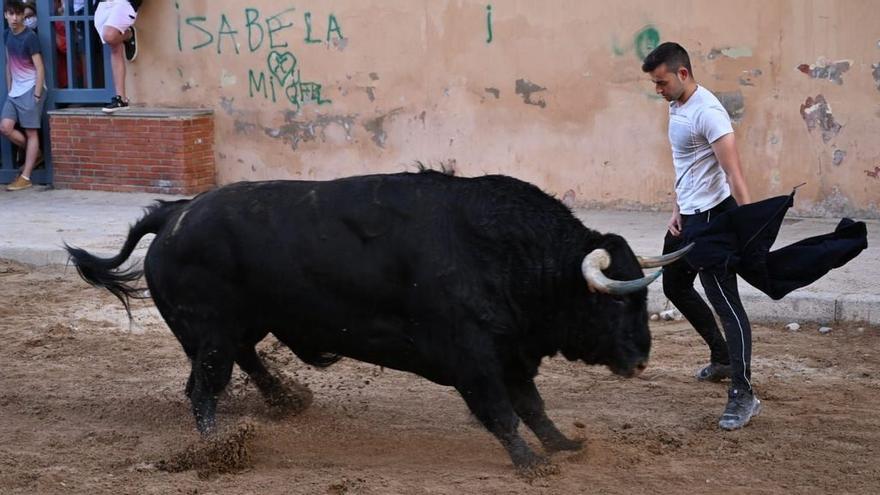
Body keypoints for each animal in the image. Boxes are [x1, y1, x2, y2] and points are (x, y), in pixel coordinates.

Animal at [67, 171, 688, 468]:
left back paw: (286, 402)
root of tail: (175, 214)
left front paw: (563, 447)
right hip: (215, 330)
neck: (503, 252)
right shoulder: (473, 358)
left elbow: (533, 409)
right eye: (615, 301)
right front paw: (530, 464)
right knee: (203, 388)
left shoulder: (511, 353)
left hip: (239, 325)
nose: (640, 360)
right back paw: (218, 447)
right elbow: (503, 414)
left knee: (230, 366)